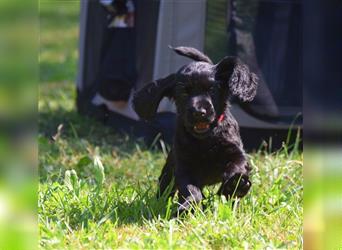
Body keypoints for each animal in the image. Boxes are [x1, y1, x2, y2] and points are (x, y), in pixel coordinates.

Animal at [132, 46, 258, 213]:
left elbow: (237, 166)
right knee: (165, 187)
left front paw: (235, 185)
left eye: (212, 90)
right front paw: (188, 207)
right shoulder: (184, 166)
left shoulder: (235, 152)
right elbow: (191, 190)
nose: (199, 112)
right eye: (184, 93)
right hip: (168, 171)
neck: (206, 139)